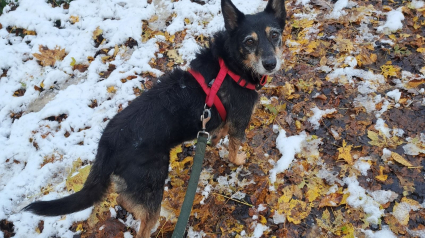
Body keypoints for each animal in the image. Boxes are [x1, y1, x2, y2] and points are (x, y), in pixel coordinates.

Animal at [23, 0, 284, 237]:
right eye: (249, 41)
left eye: (275, 35)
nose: (271, 64)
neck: (231, 65)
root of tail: (107, 143)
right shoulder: (241, 119)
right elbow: (235, 145)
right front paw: (238, 159)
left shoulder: (224, 119)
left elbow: (220, 132)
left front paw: (217, 139)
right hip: (153, 182)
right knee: (143, 223)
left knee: (123, 199)